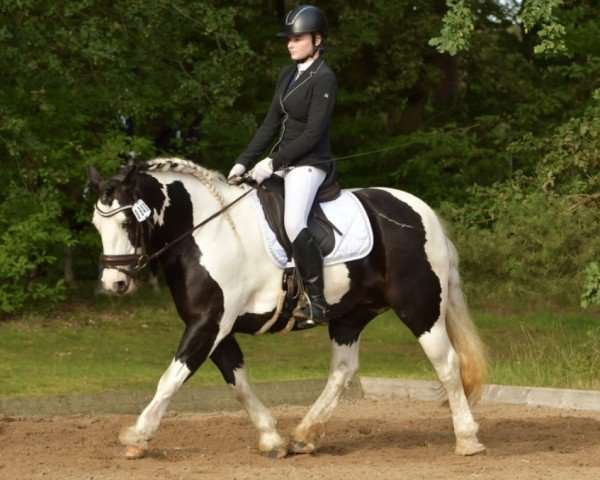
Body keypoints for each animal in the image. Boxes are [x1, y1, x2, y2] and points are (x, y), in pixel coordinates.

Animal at [90, 158, 492, 462]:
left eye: (127, 222)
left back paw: (467, 438)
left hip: (420, 309)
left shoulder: (208, 323)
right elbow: (238, 381)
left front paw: (137, 437)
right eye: (97, 224)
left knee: (447, 364)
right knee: (343, 371)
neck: (206, 232)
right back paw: (305, 435)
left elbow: (171, 378)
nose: (114, 283)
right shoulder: (215, 326)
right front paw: (271, 438)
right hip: (350, 316)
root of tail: (422, 211)